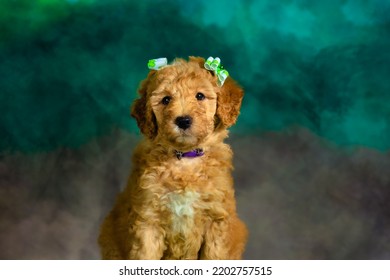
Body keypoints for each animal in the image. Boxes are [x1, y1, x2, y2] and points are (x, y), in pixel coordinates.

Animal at [99, 55, 248, 260]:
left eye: (200, 96)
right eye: (166, 99)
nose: (183, 120)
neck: (185, 158)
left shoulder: (217, 219)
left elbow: (214, 255)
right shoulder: (148, 219)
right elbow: (145, 255)